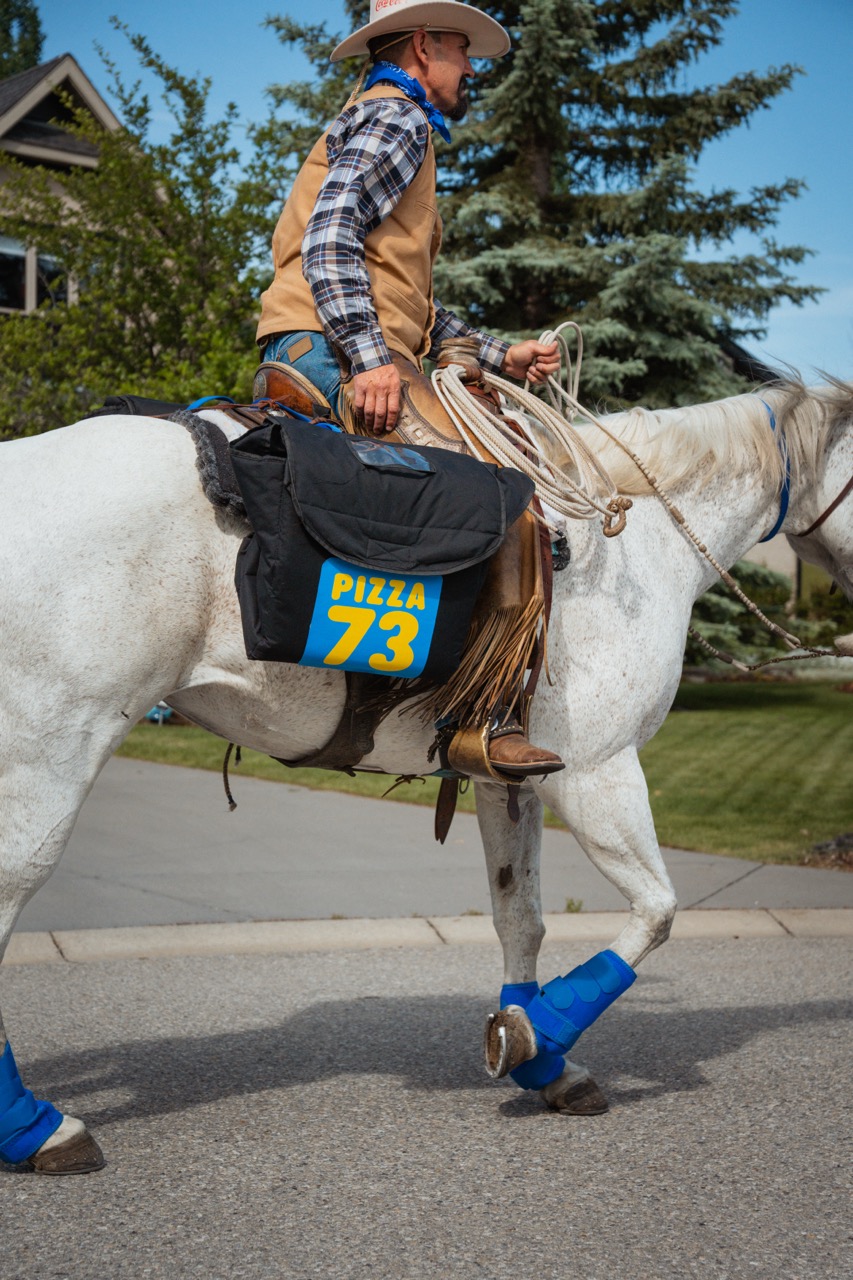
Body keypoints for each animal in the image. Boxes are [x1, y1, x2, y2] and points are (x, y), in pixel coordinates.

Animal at [1, 378, 851, 1174]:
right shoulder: (599, 772)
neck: (635, 546)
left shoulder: (509, 776)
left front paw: (543, 1059)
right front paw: (534, 1035)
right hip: (50, 750)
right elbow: (656, 911)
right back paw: (38, 1129)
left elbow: (521, 918)